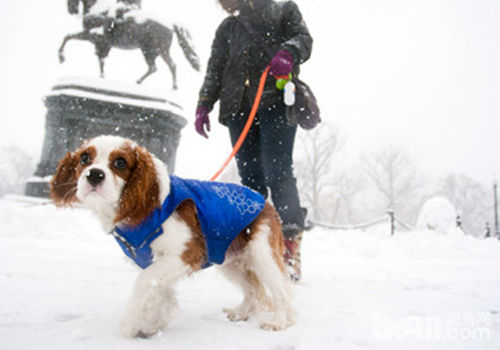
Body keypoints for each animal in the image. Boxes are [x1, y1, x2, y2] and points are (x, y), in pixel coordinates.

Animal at [49, 135, 294, 336]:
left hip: (261, 254)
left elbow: (145, 280)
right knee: (254, 289)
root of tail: (266, 202)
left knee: (281, 290)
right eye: (84, 158)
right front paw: (153, 324)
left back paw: (280, 322)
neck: (139, 208)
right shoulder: (161, 262)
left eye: (120, 163)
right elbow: (160, 290)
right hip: (229, 260)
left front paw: (130, 324)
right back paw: (241, 312)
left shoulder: (187, 253)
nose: (94, 175)